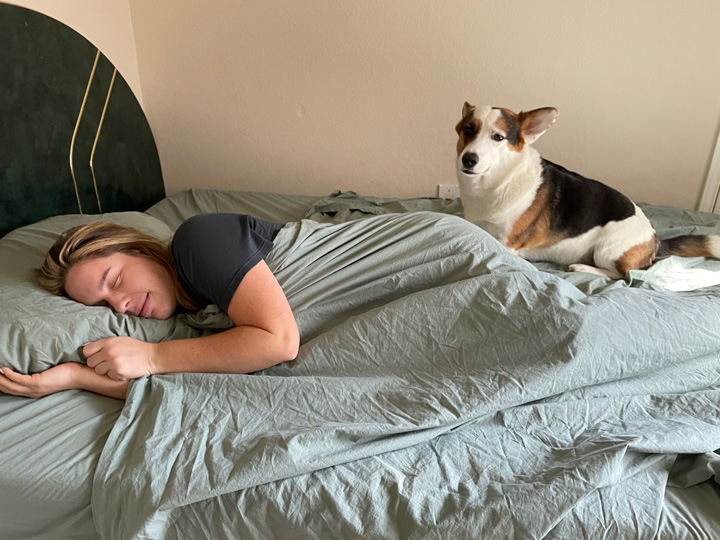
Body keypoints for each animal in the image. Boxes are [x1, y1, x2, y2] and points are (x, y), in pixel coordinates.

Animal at [456, 102, 720, 278]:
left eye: (498, 137)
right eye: (468, 130)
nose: (468, 160)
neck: (498, 181)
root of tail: (655, 239)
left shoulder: (505, 244)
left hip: (607, 250)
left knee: (623, 275)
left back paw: (583, 267)